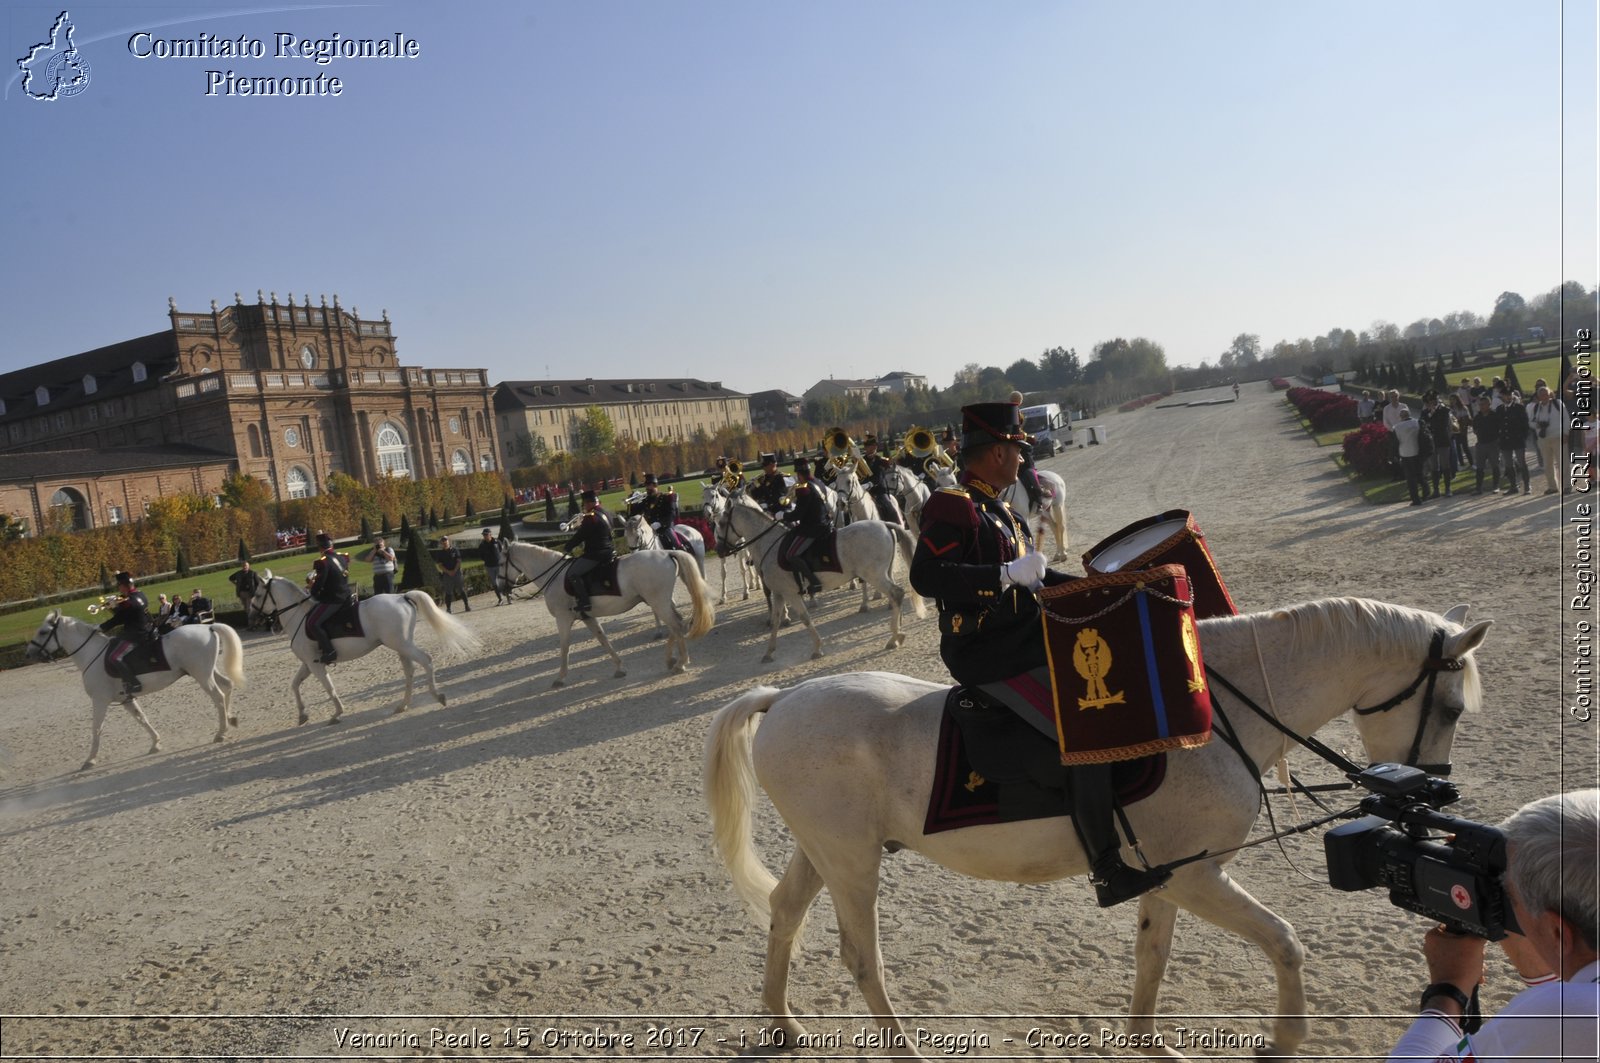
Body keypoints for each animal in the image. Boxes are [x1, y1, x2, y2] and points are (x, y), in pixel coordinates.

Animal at [26, 611, 244, 768]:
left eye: (43, 632)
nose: (29, 653)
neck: (92, 654)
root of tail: (208, 627)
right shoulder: (127, 699)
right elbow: (142, 719)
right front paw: (155, 743)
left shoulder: (100, 700)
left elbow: (96, 728)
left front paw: (90, 759)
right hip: (208, 672)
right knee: (227, 686)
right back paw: (231, 719)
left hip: (202, 676)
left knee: (218, 696)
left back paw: (221, 732)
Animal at [251, 573, 480, 723]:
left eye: (257, 595)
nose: (252, 617)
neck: (299, 615)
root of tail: (402, 596)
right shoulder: (308, 663)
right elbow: (295, 685)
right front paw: (302, 715)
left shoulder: (315, 664)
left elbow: (328, 687)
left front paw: (337, 712)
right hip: (402, 645)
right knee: (410, 671)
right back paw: (402, 705)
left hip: (402, 644)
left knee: (426, 661)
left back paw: (437, 696)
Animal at [502, 541, 716, 688]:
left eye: (500, 561)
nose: (502, 588)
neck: (554, 576)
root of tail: (666, 552)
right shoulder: (588, 617)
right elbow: (603, 640)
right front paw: (619, 668)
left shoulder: (563, 618)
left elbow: (564, 647)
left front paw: (560, 678)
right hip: (660, 602)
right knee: (677, 624)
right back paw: (671, 660)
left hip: (658, 602)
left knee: (676, 626)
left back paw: (680, 663)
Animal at [707, 601, 1491, 1056]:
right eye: (1452, 706)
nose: (1433, 788)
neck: (1210, 716)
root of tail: (786, 697)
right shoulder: (1196, 874)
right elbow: (1285, 942)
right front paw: (1282, 1041)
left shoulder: (1169, 875)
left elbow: (1153, 956)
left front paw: (1148, 1043)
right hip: (851, 862)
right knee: (860, 955)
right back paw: (902, 1050)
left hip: (828, 853)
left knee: (783, 913)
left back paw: (783, 1024)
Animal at [716, 493, 928, 659]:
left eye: (722, 523)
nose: (718, 550)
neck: (769, 543)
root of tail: (883, 524)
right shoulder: (779, 593)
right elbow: (776, 620)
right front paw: (769, 652)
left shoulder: (791, 593)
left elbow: (805, 618)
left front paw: (817, 649)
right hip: (881, 573)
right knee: (895, 596)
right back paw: (897, 632)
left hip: (874, 575)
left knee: (896, 594)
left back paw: (894, 637)